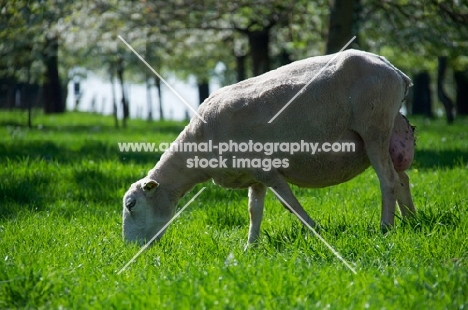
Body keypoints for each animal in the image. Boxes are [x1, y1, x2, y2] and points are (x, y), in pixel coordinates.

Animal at [122, 49, 414, 247]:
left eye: (131, 204)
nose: (130, 248)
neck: (198, 144)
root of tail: (394, 70)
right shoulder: (254, 176)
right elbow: (254, 210)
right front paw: (250, 247)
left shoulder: (267, 170)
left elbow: (289, 205)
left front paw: (316, 230)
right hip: (390, 130)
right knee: (402, 178)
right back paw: (411, 221)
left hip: (374, 128)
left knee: (388, 180)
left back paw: (386, 228)